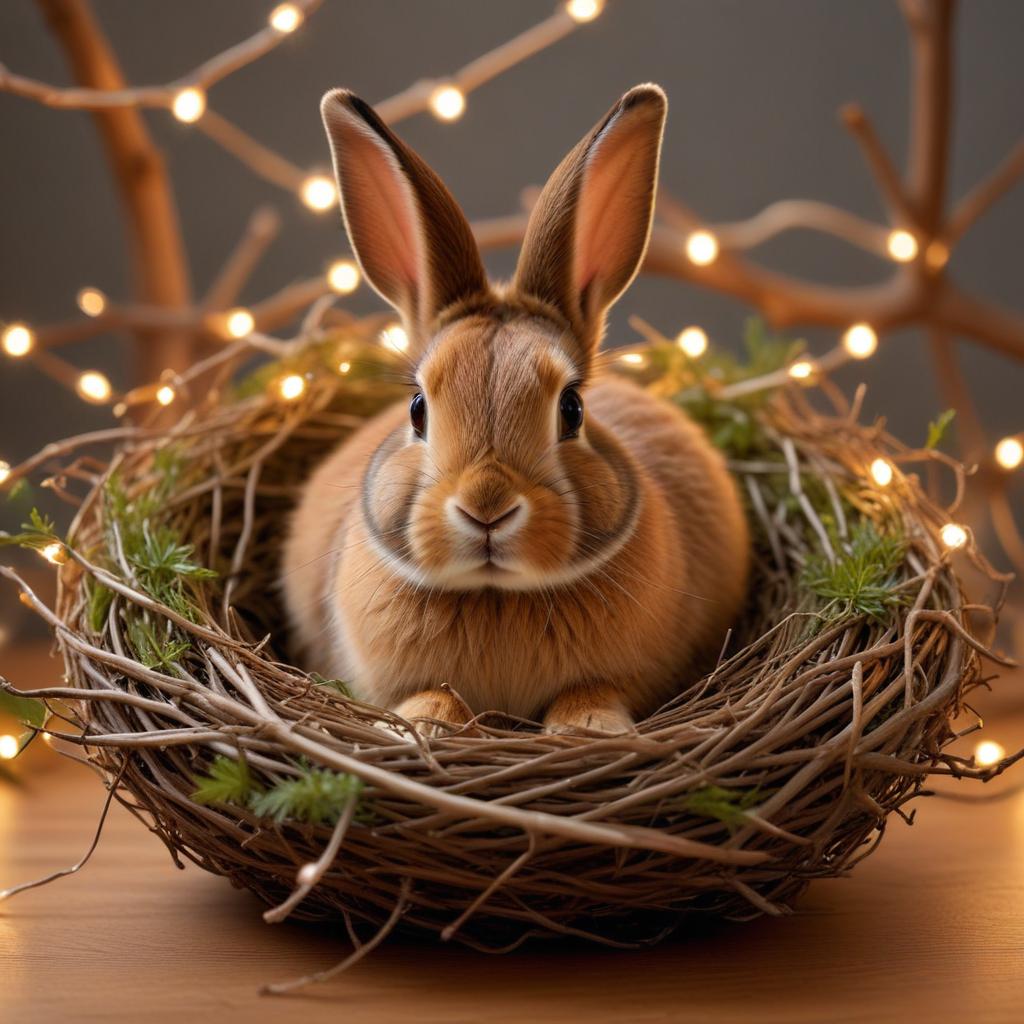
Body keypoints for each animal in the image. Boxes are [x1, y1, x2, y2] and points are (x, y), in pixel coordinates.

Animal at [281, 84, 750, 735]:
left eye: (572, 409)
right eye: (418, 409)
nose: (487, 509)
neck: (495, 595)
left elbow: (593, 690)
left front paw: (587, 727)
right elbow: (429, 695)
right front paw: (425, 724)